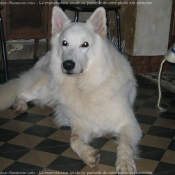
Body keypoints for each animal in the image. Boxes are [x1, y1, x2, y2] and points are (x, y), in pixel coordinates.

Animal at [0, 6, 142, 174]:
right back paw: (21, 105)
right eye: (64, 43)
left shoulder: (129, 124)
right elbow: (73, 140)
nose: (67, 65)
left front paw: (125, 162)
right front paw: (88, 154)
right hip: (47, 88)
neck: (86, 86)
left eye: (85, 44)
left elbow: (124, 144)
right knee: (23, 92)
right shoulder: (80, 125)